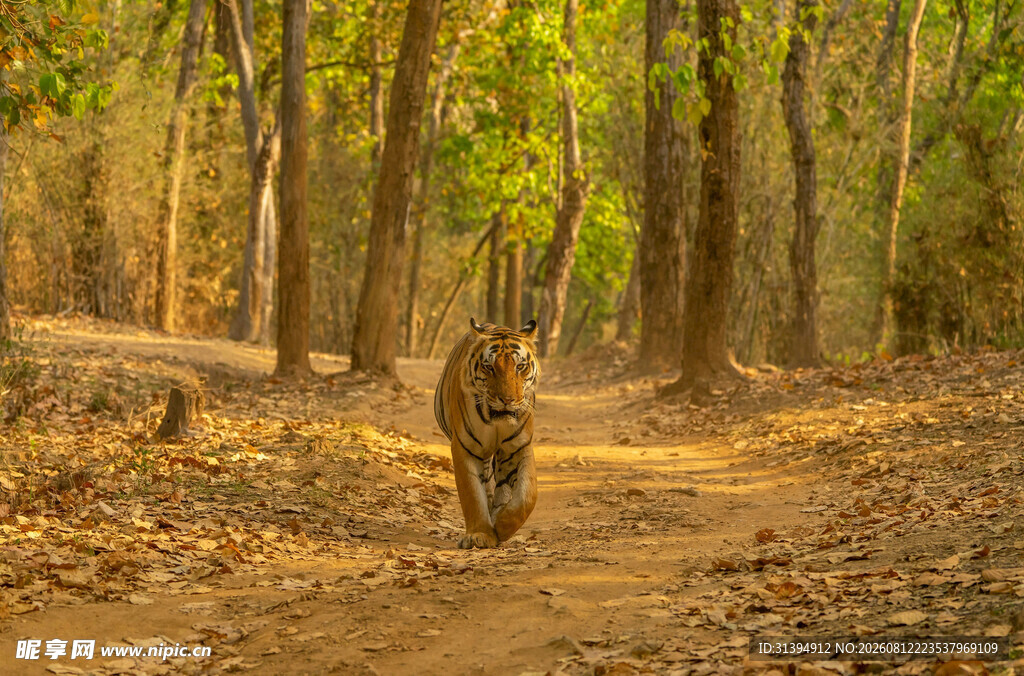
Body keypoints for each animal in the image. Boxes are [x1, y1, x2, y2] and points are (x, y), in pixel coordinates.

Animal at [434, 317, 540, 549]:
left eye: (520, 366)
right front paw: (480, 534)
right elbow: (472, 494)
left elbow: (527, 496)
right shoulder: (465, 447)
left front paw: (502, 526)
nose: (507, 400)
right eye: (489, 367)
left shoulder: (518, 447)